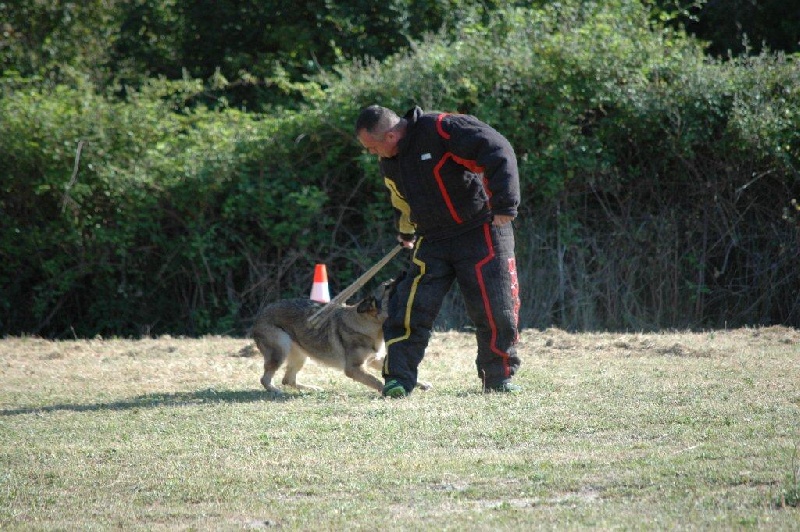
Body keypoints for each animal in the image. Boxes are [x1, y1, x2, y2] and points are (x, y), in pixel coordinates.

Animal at [252, 280, 396, 392]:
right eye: (387, 287)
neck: (368, 324)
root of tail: (260, 314)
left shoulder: (374, 360)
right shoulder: (353, 368)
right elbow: (376, 381)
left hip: (301, 356)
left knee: (287, 380)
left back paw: (312, 388)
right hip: (281, 351)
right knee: (265, 379)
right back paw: (275, 391)